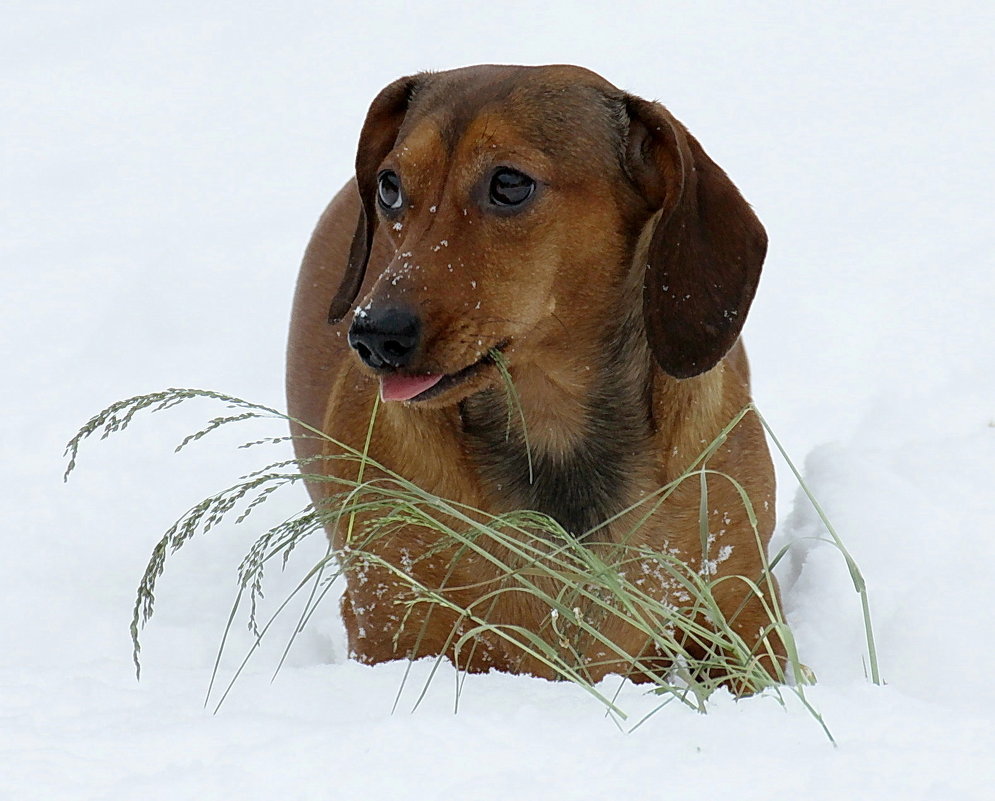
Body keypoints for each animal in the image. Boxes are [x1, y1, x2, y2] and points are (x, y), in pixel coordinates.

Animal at [288, 65, 784, 684]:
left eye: (509, 183)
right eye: (389, 186)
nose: (373, 335)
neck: (552, 432)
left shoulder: (746, 616)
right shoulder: (387, 625)